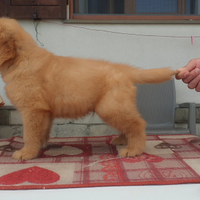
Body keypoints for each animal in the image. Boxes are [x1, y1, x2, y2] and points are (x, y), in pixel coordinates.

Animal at [0, 18, 175, 160]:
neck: (20, 59)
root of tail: (124, 70)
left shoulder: (32, 109)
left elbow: (29, 134)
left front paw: (26, 153)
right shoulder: (45, 111)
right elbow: (42, 130)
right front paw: (40, 145)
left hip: (110, 107)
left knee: (138, 123)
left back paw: (133, 149)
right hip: (117, 106)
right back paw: (122, 140)